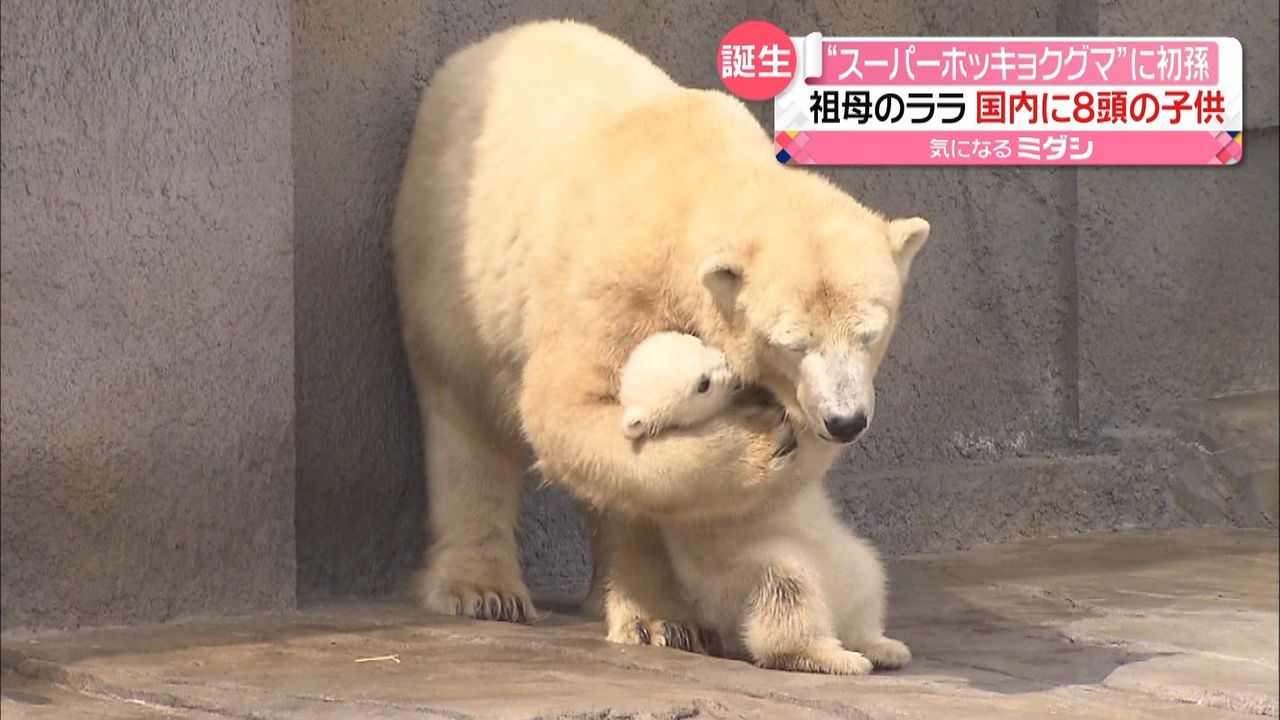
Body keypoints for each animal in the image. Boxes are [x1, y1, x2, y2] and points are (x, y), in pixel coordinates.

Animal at [391, 19, 931, 640]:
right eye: (792, 343)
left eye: (871, 333)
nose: (845, 422)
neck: (692, 177)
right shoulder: (612, 286)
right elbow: (569, 412)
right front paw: (759, 445)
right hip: (451, 270)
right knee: (464, 418)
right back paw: (483, 590)